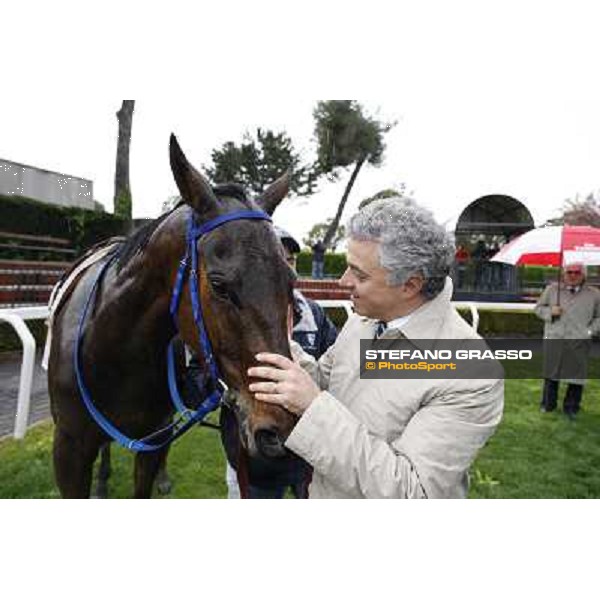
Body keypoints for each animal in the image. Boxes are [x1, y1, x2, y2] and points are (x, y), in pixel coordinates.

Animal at [48, 135, 296, 496]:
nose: (280, 433)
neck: (109, 351)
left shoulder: (154, 436)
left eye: (291, 281)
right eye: (219, 286)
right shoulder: (68, 450)